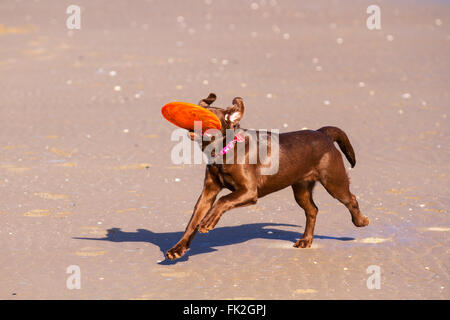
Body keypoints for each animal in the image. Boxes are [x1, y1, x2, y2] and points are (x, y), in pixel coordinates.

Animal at [165, 92, 370, 260]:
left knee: (350, 199)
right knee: (312, 210)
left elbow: (223, 200)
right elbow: (193, 221)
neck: (223, 152)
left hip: (333, 181)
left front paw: (208, 222)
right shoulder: (208, 192)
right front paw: (178, 249)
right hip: (301, 188)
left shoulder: (249, 191)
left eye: (209, 117)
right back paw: (306, 240)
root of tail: (323, 134)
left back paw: (360, 221)